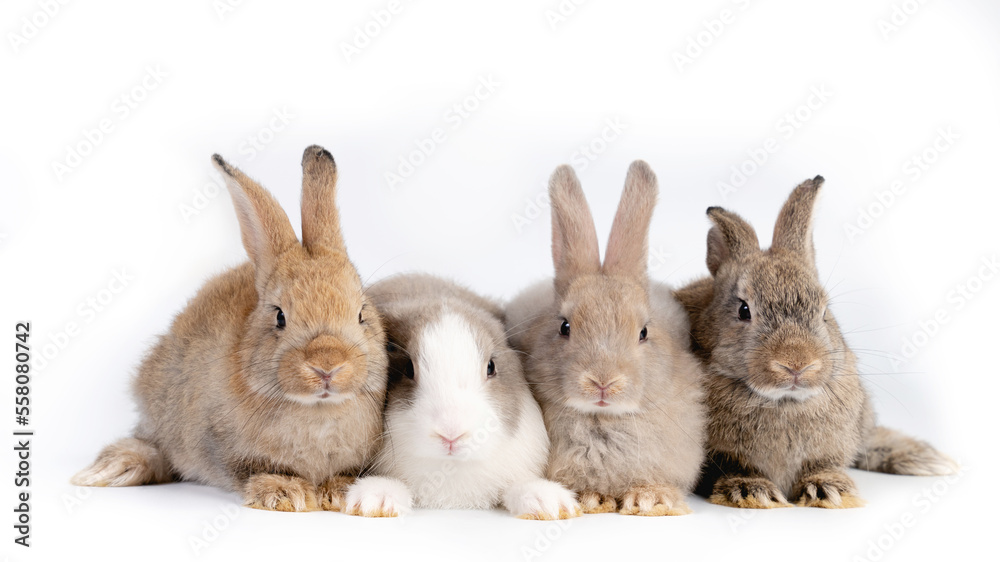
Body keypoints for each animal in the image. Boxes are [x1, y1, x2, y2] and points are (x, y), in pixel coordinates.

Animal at [71, 146, 389, 512]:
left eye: (361, 314)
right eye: (279, 317)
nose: (327, 366)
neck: (319, 408)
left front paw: (338, 492)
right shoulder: (222, 447)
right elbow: (255, 470)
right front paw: (285, 494)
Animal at [504, 162, 707, 516]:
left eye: (644, 332)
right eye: (565, 327)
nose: (603, 382)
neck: (602, 419)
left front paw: (650, 500)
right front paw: (593, 499)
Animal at [674, 175, 960, 509]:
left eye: (824, 311)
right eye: (744, 311)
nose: (797, 364)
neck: (785, 402)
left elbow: (823, 466)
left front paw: (829, 489)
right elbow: (731, 470)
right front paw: (752, 491)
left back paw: (927, 459)